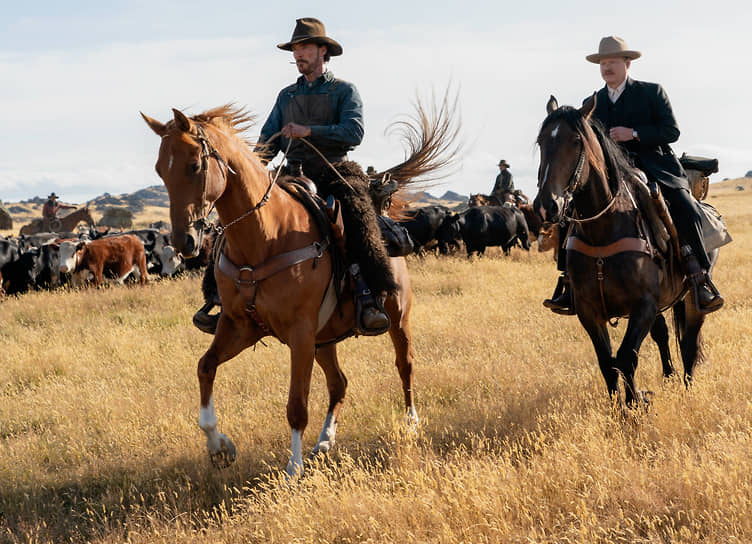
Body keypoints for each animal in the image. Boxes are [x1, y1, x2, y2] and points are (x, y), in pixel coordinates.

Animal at [141, 103, 458, 476]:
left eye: (194, 165)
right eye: (161, 170)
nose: (184, 242)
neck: (266, 235)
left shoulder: (300, 332)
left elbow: (296, 404)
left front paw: (294, 468)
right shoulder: (240, 326)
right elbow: (205, 367)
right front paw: (219, 446)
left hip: (397, 318)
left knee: (404, 365)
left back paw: (410, 422)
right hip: (325, 340)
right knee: (339, 383)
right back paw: (325, 441)